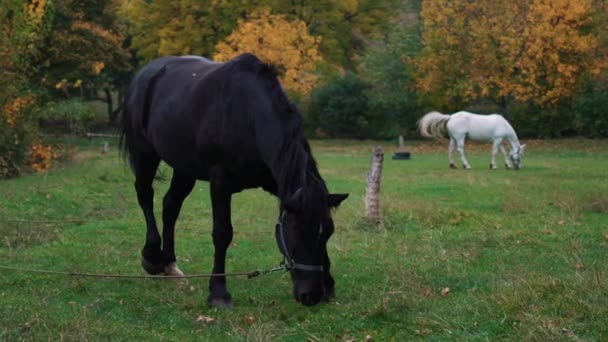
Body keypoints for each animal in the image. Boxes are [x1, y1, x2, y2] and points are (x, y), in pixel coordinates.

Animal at [120, 53, 346, 308]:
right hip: (145, 154)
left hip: (184, 168)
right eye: (297, 231)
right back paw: (151, 256)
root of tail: (144, 74)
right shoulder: (220, 182)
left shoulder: (275, 182)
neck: (248, 116)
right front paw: (219, 292)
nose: (313, 295)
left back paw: (169, 264)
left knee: (170, 206)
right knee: (145, 196)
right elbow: (222, 233)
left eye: (327, 232)